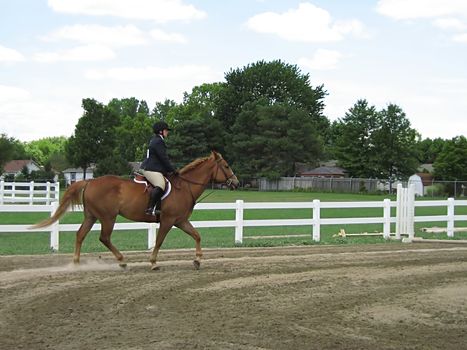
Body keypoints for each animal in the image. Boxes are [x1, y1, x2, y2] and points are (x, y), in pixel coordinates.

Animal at [32, 151, 241, 270]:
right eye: (226, 165)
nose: (236, 183)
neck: (185, 187)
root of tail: (90, 181)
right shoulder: (168, 221)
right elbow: (159, 241)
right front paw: (154, 263)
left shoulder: (180, 221)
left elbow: (197, 235)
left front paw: (197, 260)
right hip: (108, 217)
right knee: (104, 238)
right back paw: (122, 261)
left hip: (91, 216)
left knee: (80, 235)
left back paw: (76, 264)